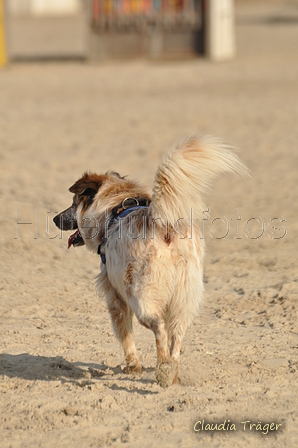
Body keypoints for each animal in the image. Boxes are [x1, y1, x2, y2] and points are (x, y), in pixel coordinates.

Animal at [53, 135, 249, 386]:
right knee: (176, 337)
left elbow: (125, 336)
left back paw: (162, 370)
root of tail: (163, 225)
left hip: (141, 298)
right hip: (183, 299)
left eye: (73, 202)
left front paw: (133, 367)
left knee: (160, 328)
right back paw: (171, 375)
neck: (113, 208)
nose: (56, 218)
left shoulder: (115, 298)